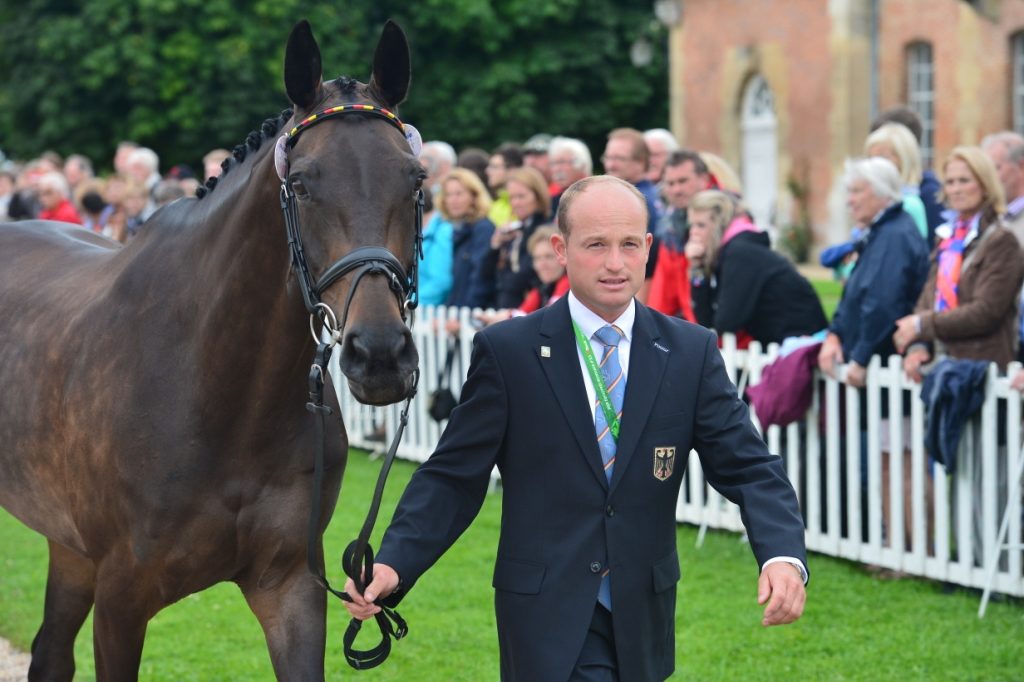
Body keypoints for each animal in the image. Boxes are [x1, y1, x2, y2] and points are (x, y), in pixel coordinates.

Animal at [0, 18, 419, 675]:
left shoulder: (291, 586)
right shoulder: (121, 599)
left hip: (68, 545)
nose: (378, 353)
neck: (217, 390)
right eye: (302, 184)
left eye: (416, 179)